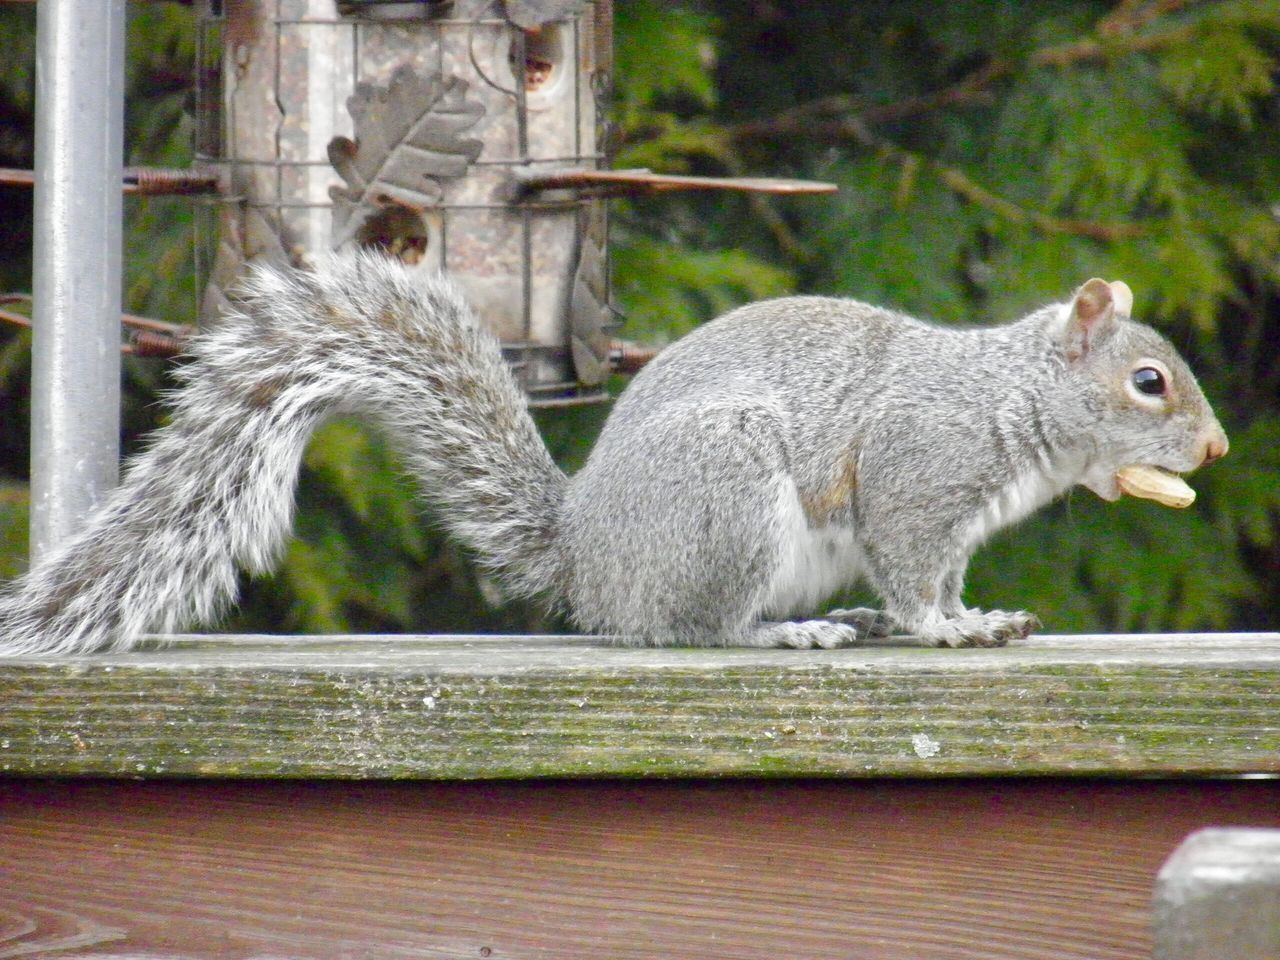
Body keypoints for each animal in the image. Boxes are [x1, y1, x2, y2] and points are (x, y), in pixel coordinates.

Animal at [0, 248, 1223, 660]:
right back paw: (794, 631)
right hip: (726, 503)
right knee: (696, 628)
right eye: (1147, 381)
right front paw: (949, 628)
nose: (1212, 444)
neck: (1008, 395)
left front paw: (982, 615)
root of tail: (588, 555)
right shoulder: (917, 476)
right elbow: (918, 576)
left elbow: (946, 576)